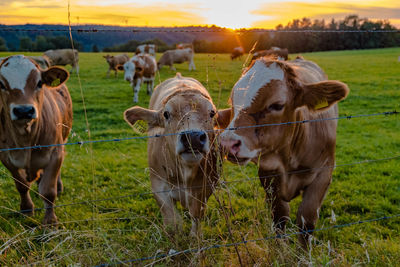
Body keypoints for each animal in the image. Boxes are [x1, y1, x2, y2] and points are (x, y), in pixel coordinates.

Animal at [0, 55, 73, 225]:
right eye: (1, 84)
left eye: (40, 83)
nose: (23, 110)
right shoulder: (6, 157)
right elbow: (22, 186)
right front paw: (26, 209)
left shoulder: (55, 153)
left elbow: (48, 191)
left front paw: (50, 221)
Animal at [124, 73, 219, 237]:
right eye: (166, 114)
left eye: (212, 113)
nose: (193, 137)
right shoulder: (159, 186)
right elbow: (173, 223)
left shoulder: (205, 187)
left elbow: (196, 216)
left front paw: (195, 237)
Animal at [216, 55, 350, 248]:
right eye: (233, 102)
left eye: (277, 105)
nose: (228, 143)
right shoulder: (268, 173)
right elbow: (279, 217)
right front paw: (282, 250)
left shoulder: (324, 172)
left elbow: (306, 221)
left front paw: (303, 253)